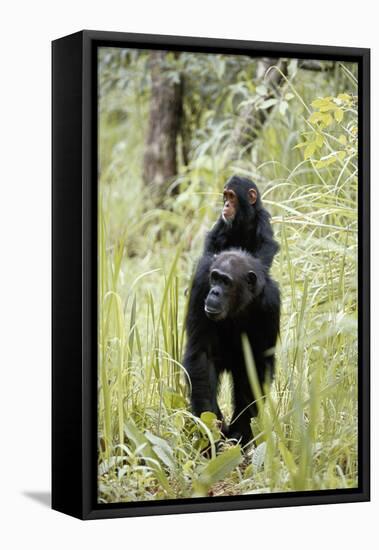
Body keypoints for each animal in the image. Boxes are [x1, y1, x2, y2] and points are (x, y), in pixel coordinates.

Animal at [185, 249, 282, 444]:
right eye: (214, 278)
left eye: (226, 282)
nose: (214, 292)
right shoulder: (200, 284)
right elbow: (201, 354)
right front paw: (211, 428)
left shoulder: (271, 304)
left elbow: (257, 366)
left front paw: (241, 430)